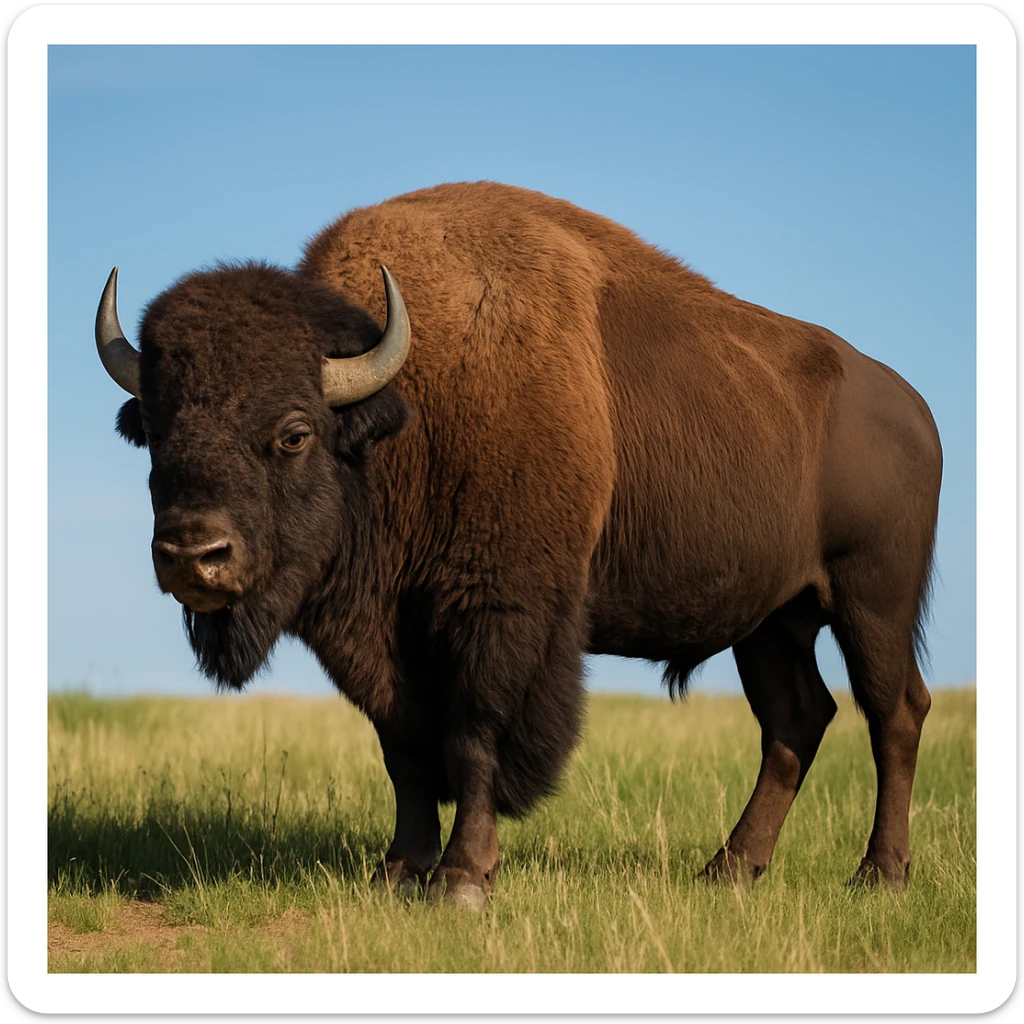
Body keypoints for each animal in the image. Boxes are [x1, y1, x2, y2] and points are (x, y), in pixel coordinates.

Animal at [95, 182, 942, 908]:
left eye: (294, 433)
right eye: (155, 432)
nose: (193, 554)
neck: (407, 414)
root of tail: (910, 406)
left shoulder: (499, 613)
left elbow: (476, 737)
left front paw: (463, 880)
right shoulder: (382, 641)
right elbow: (403, 749)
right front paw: (397, 872)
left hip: (872, 602)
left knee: (893, 712)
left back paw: (879, 875)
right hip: (769, 622)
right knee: (795, 723)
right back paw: (729, 870)